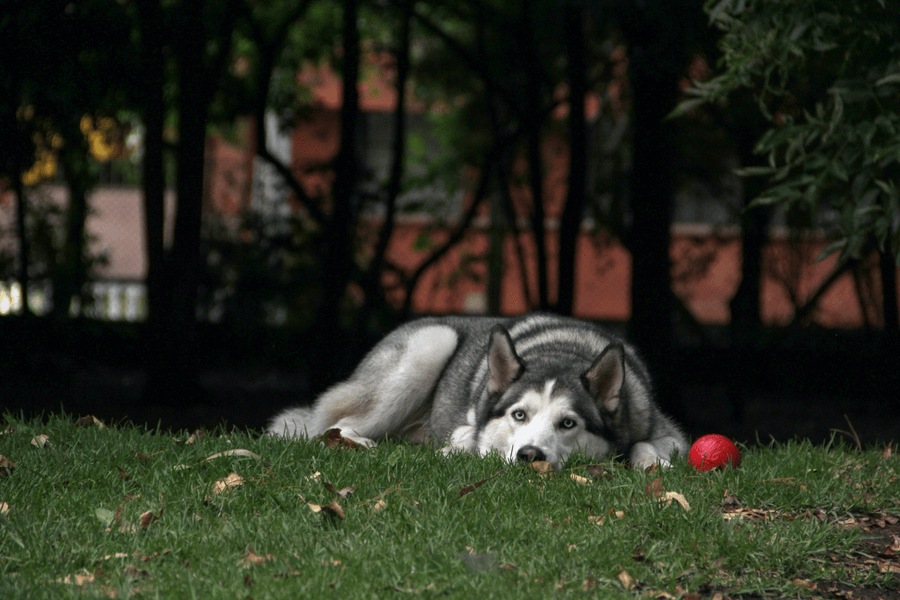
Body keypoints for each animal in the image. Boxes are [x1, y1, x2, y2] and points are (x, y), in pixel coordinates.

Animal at [270, 312, 684, 472]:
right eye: (519, 415)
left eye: (568, 423)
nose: (530, 455)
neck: (563, 351)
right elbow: (471, 437)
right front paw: (465, 443)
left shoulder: (666, 430)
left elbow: (646, 444)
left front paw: (652, 463)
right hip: (429, 344)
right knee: (332, 424)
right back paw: (359, 442)